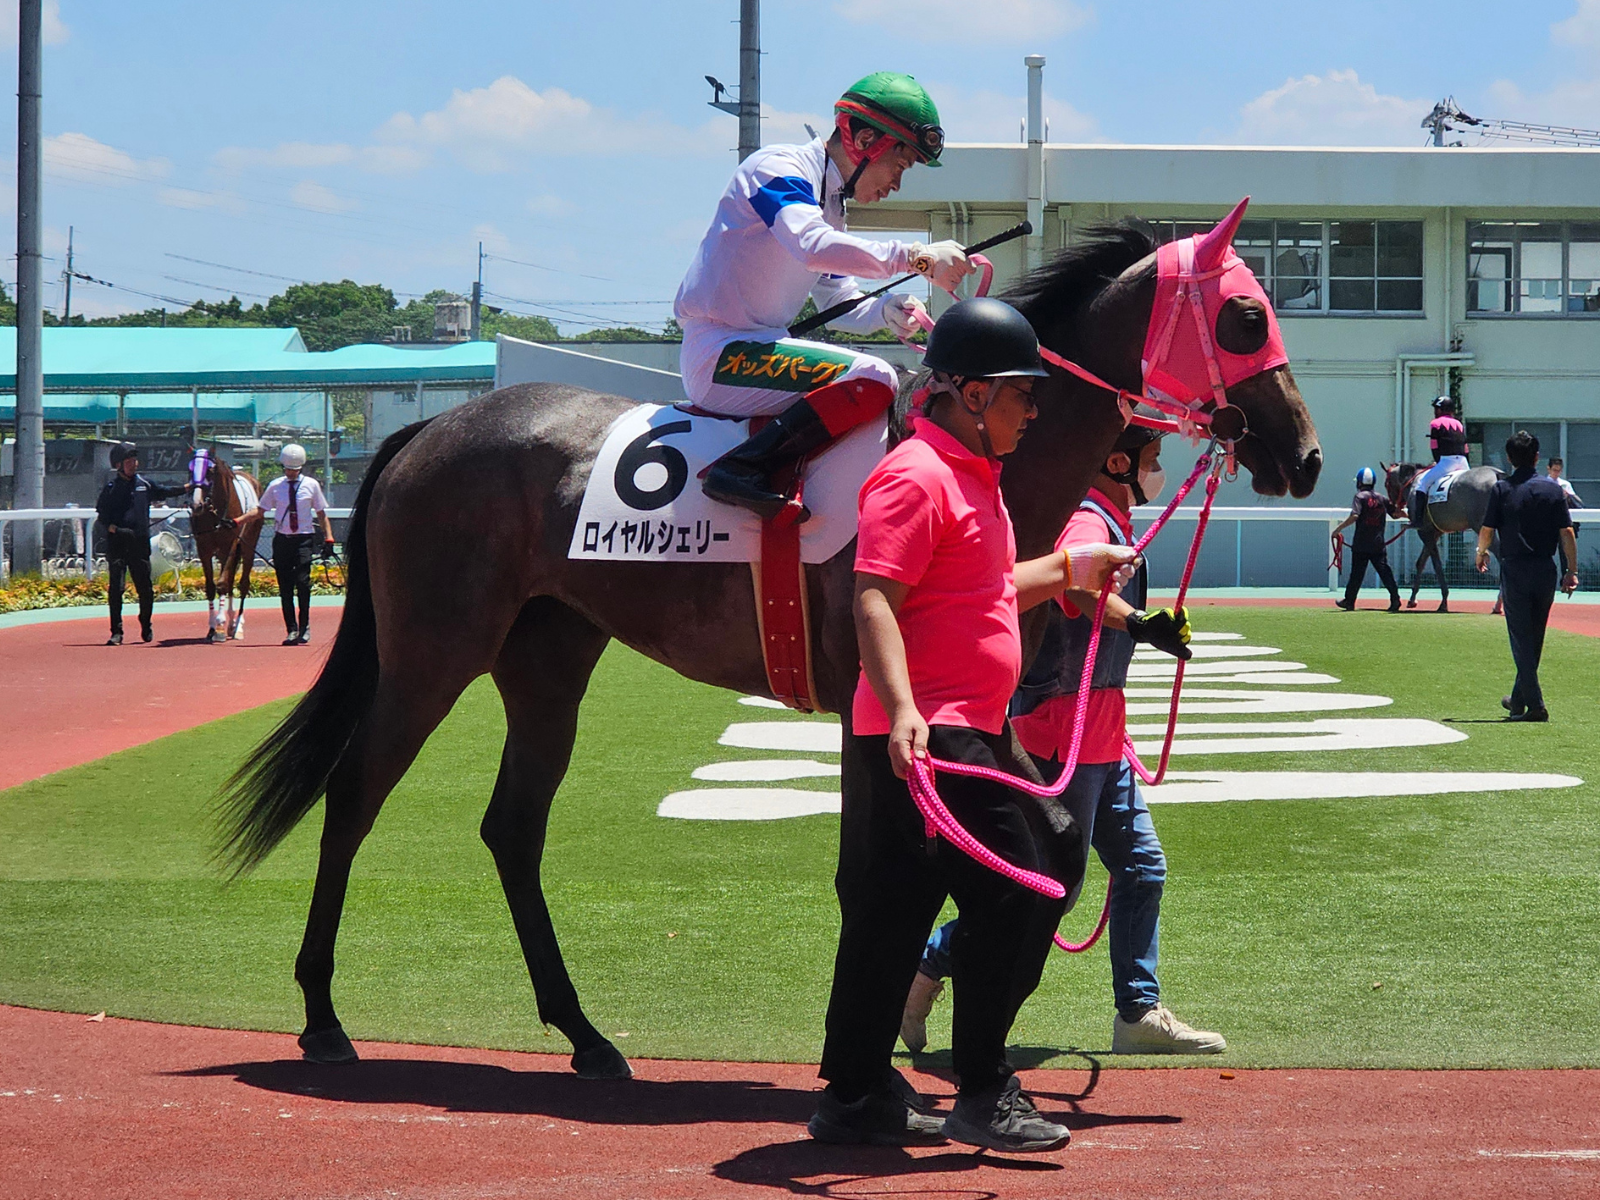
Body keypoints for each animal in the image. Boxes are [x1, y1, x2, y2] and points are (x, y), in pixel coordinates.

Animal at [187, 449, 265, 643]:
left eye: (209, 471)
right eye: (190, 469)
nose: (196, 504)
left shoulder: (229, 545)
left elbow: (222, 583)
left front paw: (221, 624)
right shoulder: (204, 548)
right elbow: (211, 586)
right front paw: (212, 627)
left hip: (247, 545)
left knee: (243, 583)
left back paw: (237, 626)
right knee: (230, 581)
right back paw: (231, 624)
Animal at [216, 218, 1322, 1081]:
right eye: (1245, 315)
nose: (1304, 455)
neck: (973, 465)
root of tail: (433, 429)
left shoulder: (982, 717)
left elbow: (1035, 849)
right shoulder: (880, 707)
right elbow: (880, 877)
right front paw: (870, 1057)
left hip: (548, 660)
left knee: (512, 830)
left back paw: (586, 1037)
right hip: (433, 650)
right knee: (353, 797)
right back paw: (322, 1017)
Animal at [1383, 460, 1502, 612]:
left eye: (1386, 483)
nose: (1394, 510)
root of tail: (1496, 474)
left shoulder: (1424, 531)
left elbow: (1436, 564)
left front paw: (1443, 601)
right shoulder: (1434, 532)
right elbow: (1421, 562)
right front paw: (1412, 599)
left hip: (1482, 527)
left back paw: (1498, 604)